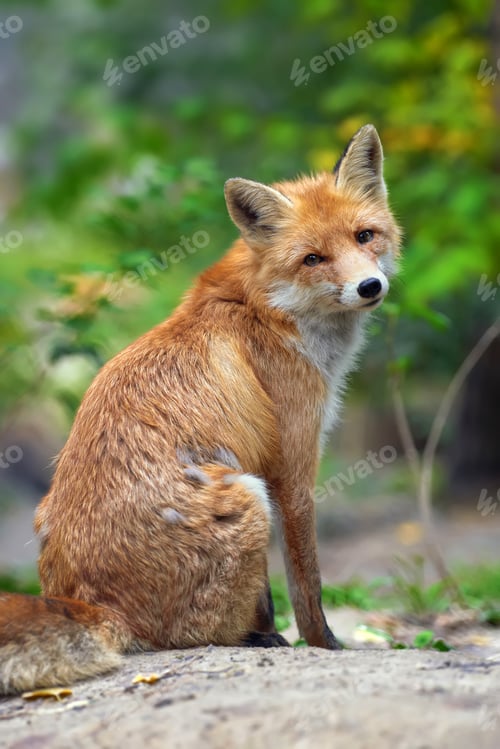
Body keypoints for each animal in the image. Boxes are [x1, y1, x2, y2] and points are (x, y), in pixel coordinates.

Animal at [0, 124, 401, 694]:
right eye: (313, 259)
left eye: (365, 237)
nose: (370, 286)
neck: (266, 309)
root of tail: (94, 604)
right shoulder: (289, 469)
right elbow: (307, 586)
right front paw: (324, 646)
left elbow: (273, 593)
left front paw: (277, 634)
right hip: (249, 497)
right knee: (198, 634)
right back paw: (249, 639)